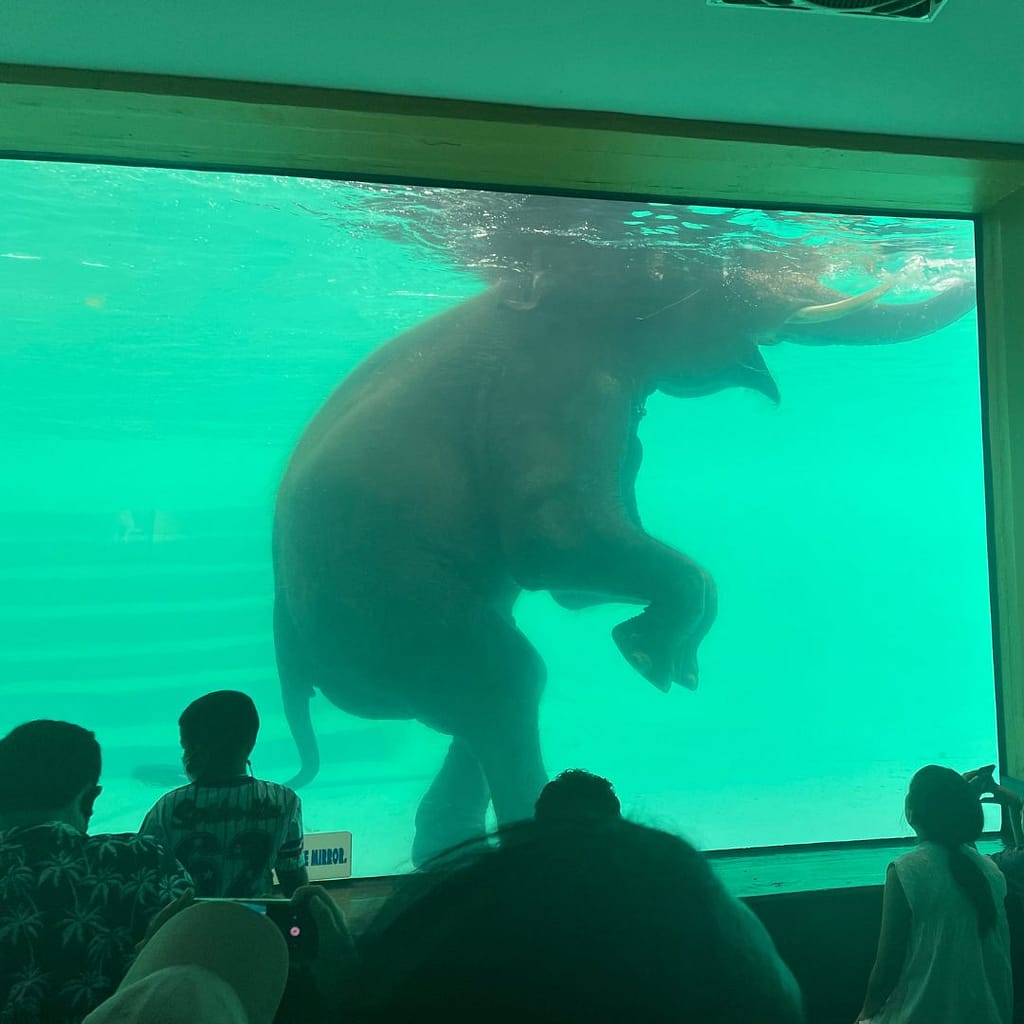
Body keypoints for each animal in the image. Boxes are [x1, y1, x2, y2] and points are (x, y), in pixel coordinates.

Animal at [272, 240, 976, 864]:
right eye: (687, 279)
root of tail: (291, 662)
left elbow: (573, 586)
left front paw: (671, 660)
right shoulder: (554, 382)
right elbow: (550, 542)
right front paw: (652, 659)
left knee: (485, 697)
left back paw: (446, 850)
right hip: (378, 605)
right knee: (505, 679)